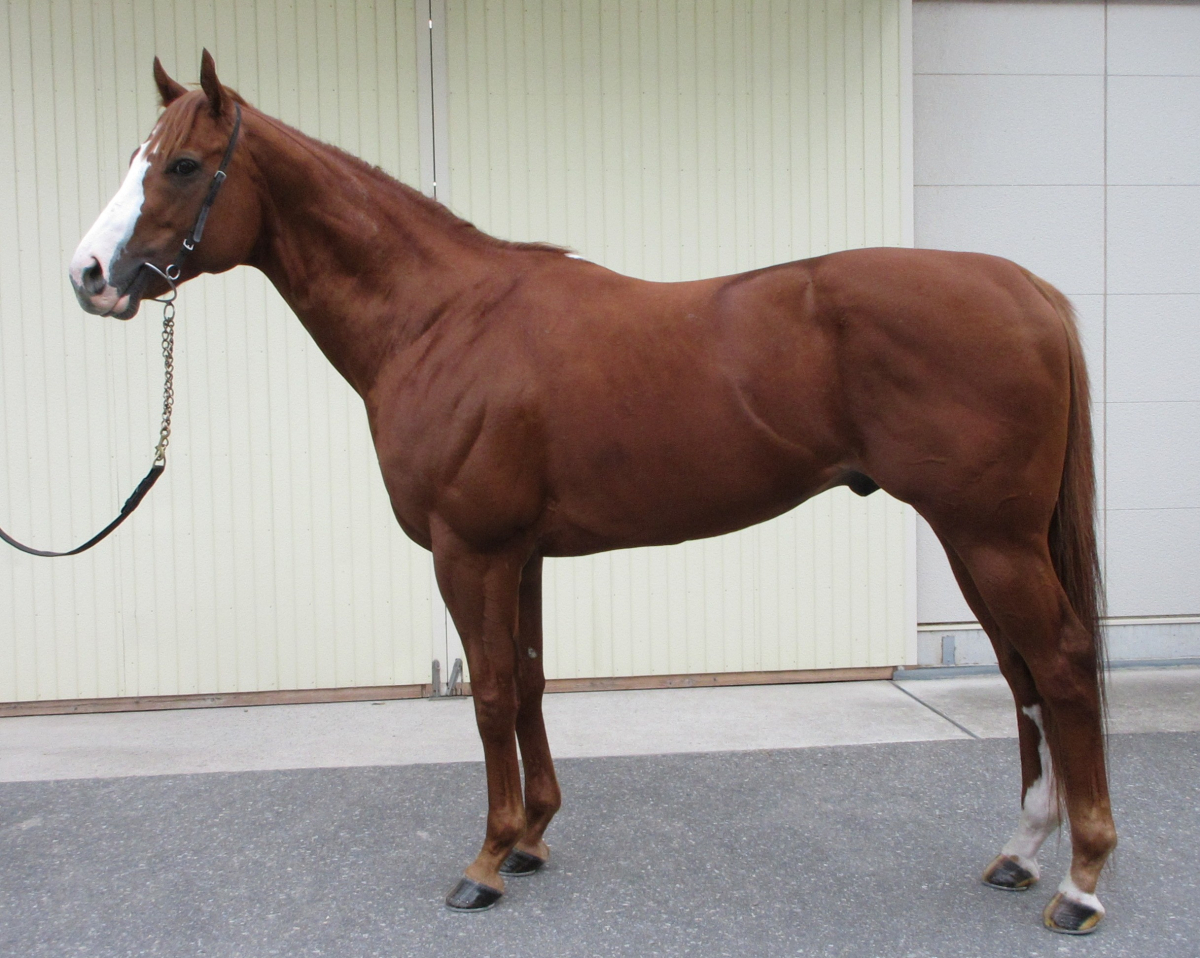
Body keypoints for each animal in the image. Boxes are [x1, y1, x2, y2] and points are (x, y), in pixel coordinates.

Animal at [68, 52, 1115, 934]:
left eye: (185, 166)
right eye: (136, 159)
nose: (87, 276)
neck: (440, 319)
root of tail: (1028, 290)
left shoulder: (469, 550)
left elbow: (491, 693)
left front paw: (486, 861)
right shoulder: (521, 553)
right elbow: (530, 681)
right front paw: (532, 837)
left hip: (989, 536)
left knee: (1060, 664)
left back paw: (1080, 882)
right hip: (974, 537)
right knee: (1021, 674)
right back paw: (1022, 851)